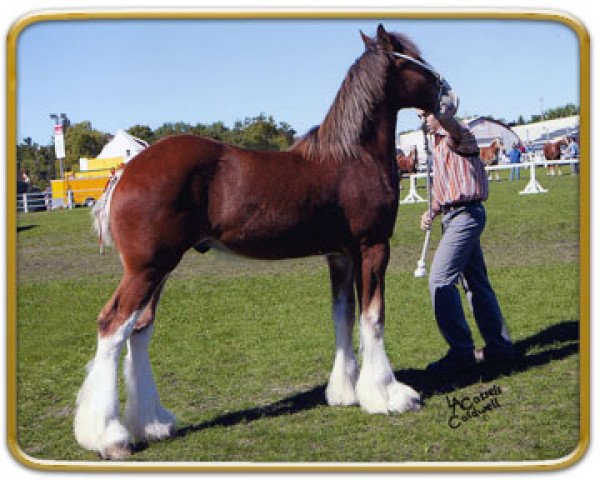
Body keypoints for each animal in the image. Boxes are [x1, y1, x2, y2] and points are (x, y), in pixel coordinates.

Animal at [75, 24, 454, 460]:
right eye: (415, 60)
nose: (450, 96)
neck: (352, 157)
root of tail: (125, 172)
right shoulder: (372, 248)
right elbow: (373, 317)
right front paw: (388, 396)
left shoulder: (339, 257)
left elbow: (342, 316)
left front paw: (345, 393)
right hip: (146, 270)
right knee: (113, 327)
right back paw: (109, 437)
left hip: (160, 270)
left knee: (139, 331)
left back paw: (153, 424)